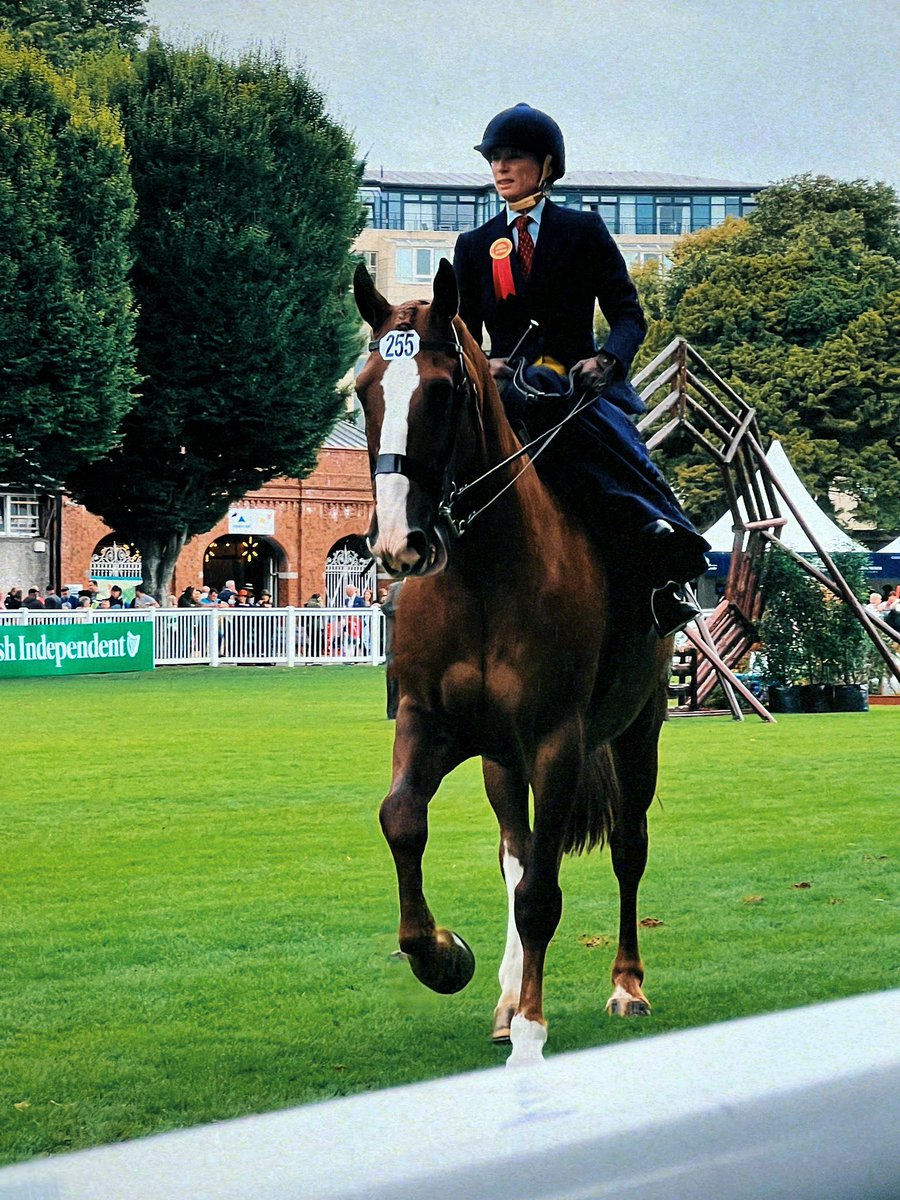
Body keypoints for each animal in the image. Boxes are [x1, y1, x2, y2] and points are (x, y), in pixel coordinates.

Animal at [353, 259, 673, 1066]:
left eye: (442, 390)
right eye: (366, 387)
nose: (397, 542)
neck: (483, 578)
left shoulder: (558, 742)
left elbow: (543, 896)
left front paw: (531, 1030)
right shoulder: (430, 722)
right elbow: (403, 820)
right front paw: (442, 956)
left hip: (639, 730)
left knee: (627, 846)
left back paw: (625, 984)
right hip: (502, 763)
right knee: (517, 851)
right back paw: (503, 995)